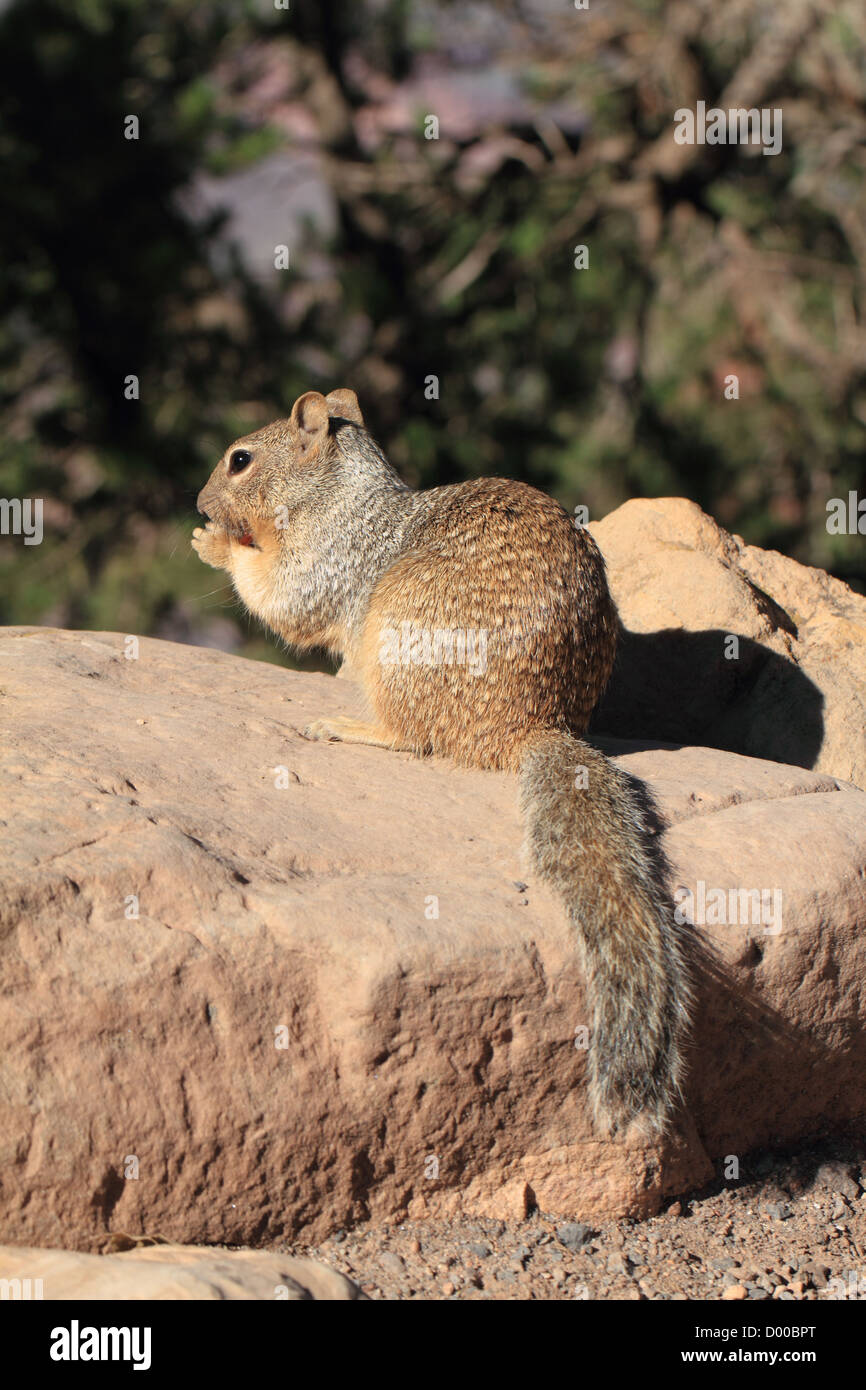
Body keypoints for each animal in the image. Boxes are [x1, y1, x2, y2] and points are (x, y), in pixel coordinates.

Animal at [194, 391, 692, 1139]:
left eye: (240, 460)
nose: (197, 503)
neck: (338, 495)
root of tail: (531, 729)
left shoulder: (328, 560)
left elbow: (284, 597)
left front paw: (216, 545)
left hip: (396, 649)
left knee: (411, 738)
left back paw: (348, 725)